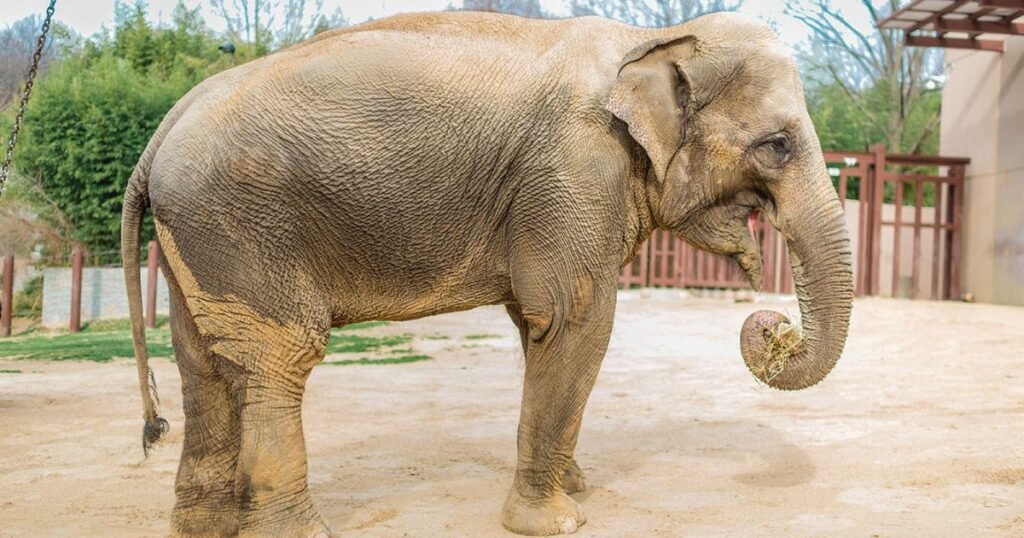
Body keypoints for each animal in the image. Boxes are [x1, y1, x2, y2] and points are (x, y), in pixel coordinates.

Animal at [121, 10, 853, 537]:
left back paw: (202, 527)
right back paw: (296, 532)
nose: (771, 326)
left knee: (203, 364)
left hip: (201, 236)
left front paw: (572, 485)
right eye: (777, 145)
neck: (647, 40)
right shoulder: (576, 170)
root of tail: (161, 131)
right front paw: (556, 521)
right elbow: (574, 318)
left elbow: (538, 328)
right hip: (241, 224)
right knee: (279, 358)